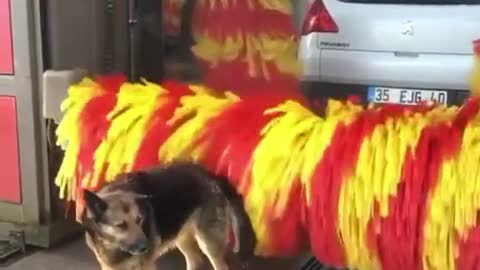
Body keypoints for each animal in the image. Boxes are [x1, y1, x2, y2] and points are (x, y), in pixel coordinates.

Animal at [80, 161, 256, 268]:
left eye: (139, 220)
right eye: (121, 225)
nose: (146, 247)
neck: (112, 244)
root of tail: (210, 175)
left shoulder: (145, 265)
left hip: (208, 242)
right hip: (182, 236)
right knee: (195, 261)